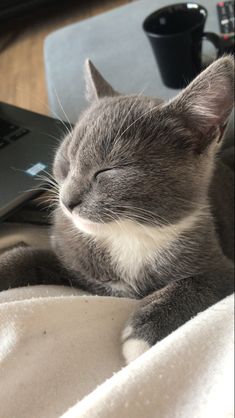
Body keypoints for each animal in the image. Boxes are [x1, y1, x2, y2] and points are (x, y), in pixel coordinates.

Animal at [0, 55, 234, 362]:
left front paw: (145, 330)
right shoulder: (73, 262)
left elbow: (201, 282)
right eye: (67, 160)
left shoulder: (222, 265)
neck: (126, 234)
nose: (67, 201)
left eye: (108, 170)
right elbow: (26, 256)